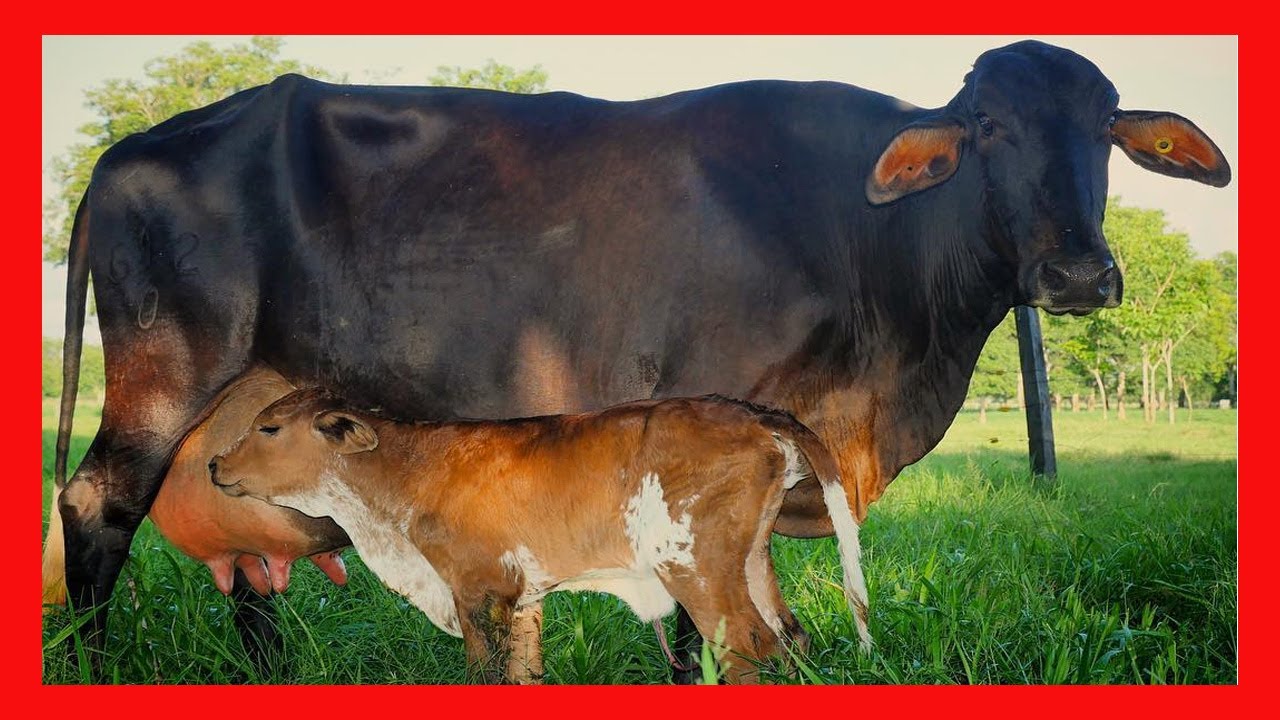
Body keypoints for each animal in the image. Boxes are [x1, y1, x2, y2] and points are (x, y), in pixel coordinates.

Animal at [207, 388, 871, 683]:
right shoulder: (523, 598)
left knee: (749, 647)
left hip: (696, 568)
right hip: (751, 559)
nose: (214, 463)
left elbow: (483, 672)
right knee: (791, 638)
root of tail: (752, 411)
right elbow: (524, 674)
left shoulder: (476, 591)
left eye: (269, 427)